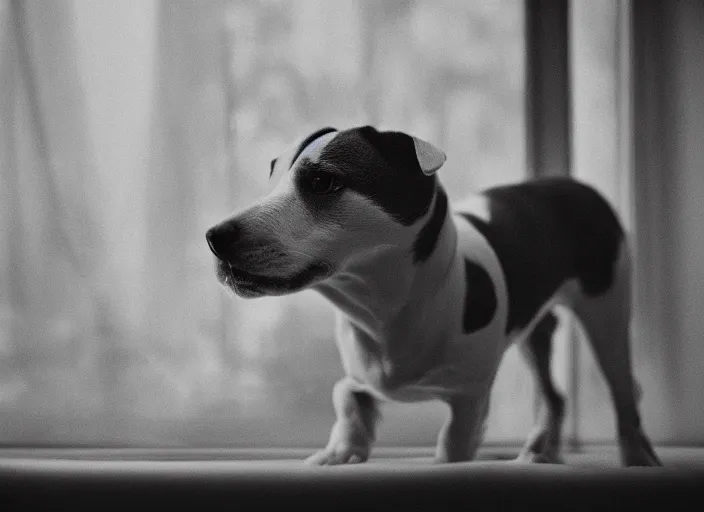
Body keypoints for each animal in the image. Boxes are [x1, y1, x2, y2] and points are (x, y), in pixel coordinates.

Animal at [206, 125, 664, 468]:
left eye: (323, 181)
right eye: (272, 179)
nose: (214, 236)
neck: (384, 313)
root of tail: (574, 184)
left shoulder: (470, 396)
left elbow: (454, 443)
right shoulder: (363, 374)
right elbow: (346, 395)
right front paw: (342, 450)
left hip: (607, 309)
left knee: (623, 390)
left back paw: (636, 457)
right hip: (534, 333)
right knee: (554, 395)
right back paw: (540, 452)